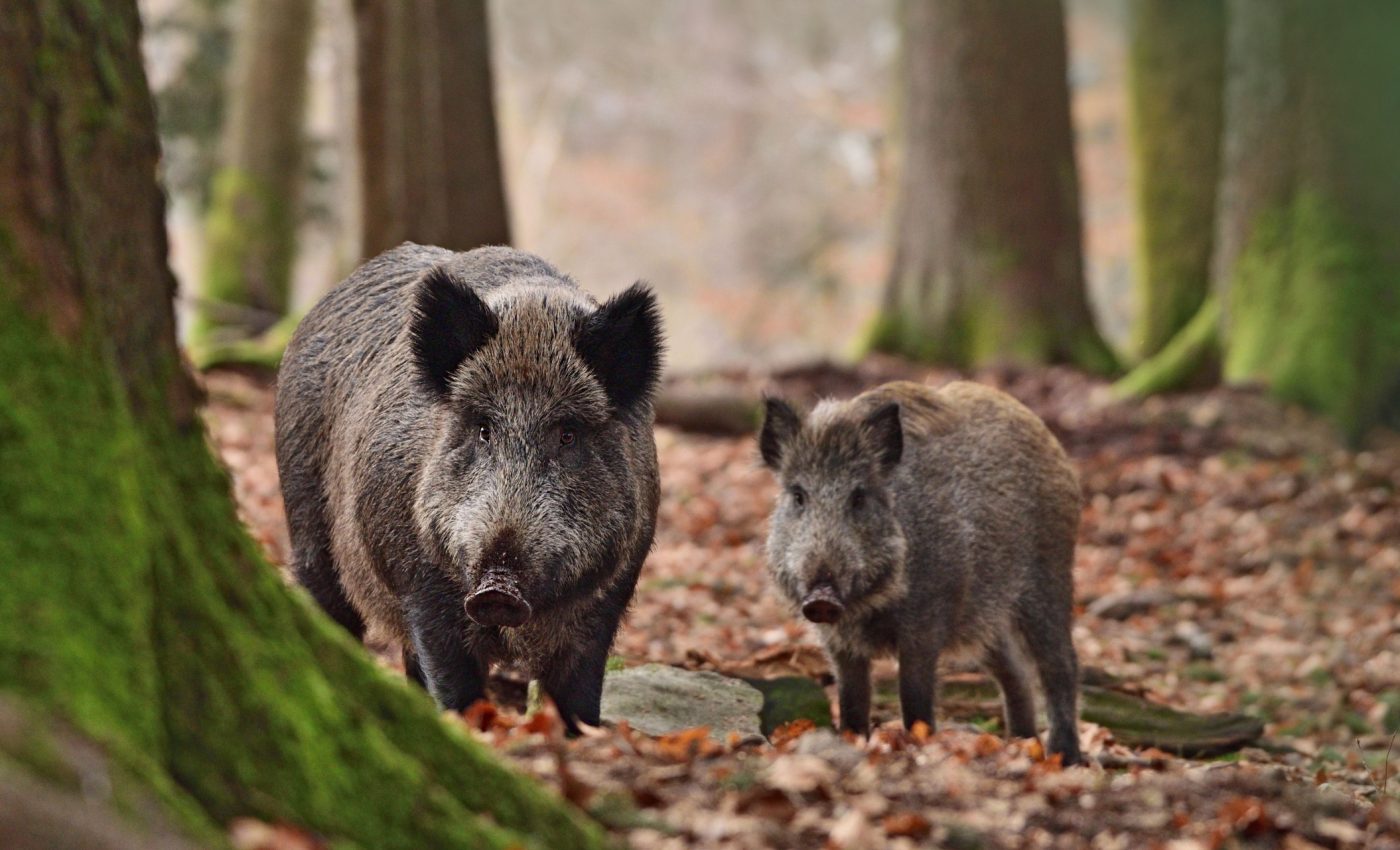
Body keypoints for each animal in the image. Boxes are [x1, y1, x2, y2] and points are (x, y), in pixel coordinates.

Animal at [275, 243, 662, 730]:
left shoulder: (610, 593)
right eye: (483, 429)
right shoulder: (420, 582)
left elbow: (578, 694)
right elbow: (452, 680)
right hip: (305, 516)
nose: (498, 589)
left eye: (568, 434)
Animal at [759, 380, 1084, 764]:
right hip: (985, 617)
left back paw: (1063, 757)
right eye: (798, 496)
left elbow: (914, 697)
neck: (869, 607)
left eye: (859, 497)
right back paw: (1023, 746)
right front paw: (854, 742)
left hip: (1050, 577)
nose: (822, 596)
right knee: (1016, 672)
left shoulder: (926, 623)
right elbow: (852, 700)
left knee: (1061, 666)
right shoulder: (837, 641)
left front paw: (918, 745)